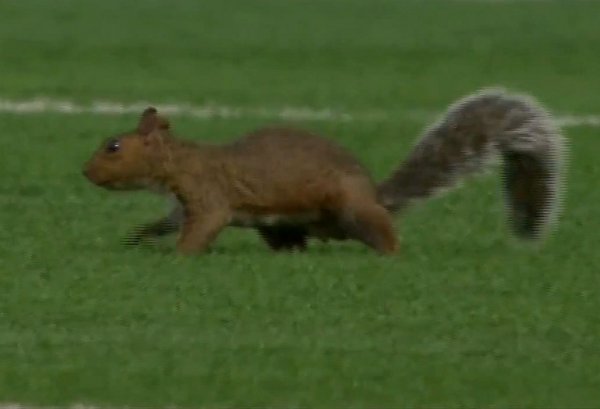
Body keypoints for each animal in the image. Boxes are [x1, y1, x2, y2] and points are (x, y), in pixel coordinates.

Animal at [81, 87, 568, 255]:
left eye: (114, 146)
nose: (86, 172)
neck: (182, 162)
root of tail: (376, 195)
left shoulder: (209, 196)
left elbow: (200, 229)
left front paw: (177, 256)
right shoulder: (183, 204)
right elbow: (168, 221)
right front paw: (140, 237)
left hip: (351, 206)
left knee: (385, 234)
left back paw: (389, 253)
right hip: (280, 226)